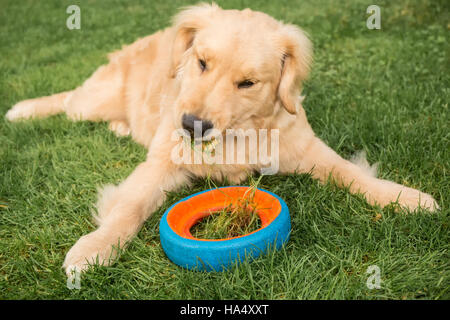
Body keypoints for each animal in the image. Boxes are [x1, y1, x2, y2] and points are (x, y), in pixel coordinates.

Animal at [4, 3, 440, 276]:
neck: (237, 132)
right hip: (92, 102)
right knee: (67, 99)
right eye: (201, 63)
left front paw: (405, 197)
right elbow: (127, 208)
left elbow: (352, 173)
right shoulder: (161, 163)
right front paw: (94, 248)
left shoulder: (306, 148)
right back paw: (23, 109)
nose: (191, 125)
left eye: (247, 83)